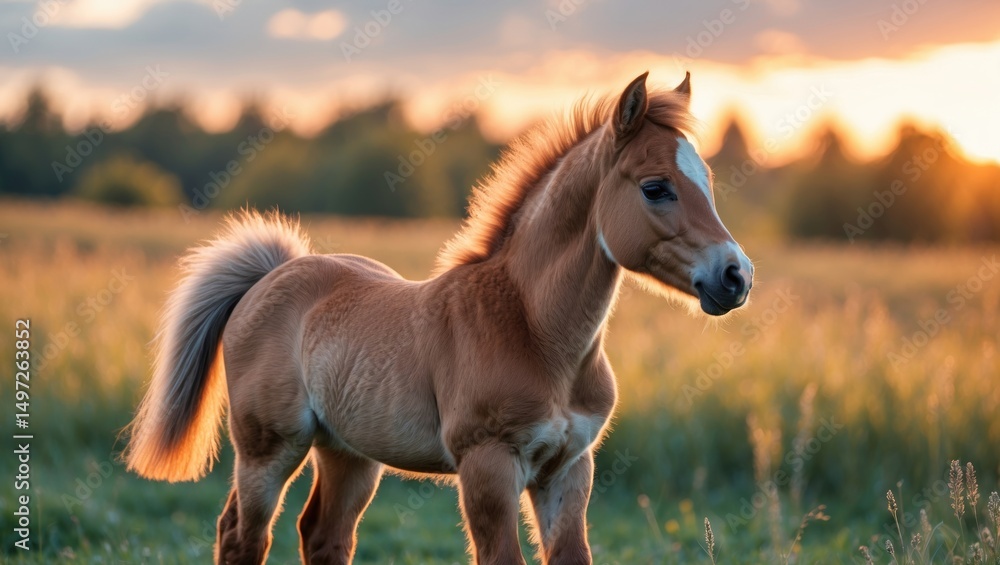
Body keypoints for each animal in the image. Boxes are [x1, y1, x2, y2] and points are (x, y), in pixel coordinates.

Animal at [124, 71, 753, 564]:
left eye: (708, 183)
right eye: (656, 187)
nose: (736, 275)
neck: (534, 332)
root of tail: (272, 274)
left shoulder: (570, 468)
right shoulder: (487, 466)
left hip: (348, 452)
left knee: (323, 536)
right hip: (268, 447)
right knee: (242, 536)